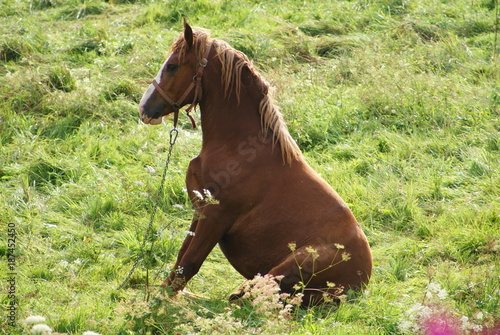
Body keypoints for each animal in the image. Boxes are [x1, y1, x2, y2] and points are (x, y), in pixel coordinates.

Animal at [138, 19, 372, 306]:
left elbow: (189, 263)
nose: (144, 108)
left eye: (172, 66)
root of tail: (361, 285)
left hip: (289, 265)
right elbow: (180, 259)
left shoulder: (216, 216)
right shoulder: (200, 211)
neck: (239, 148)